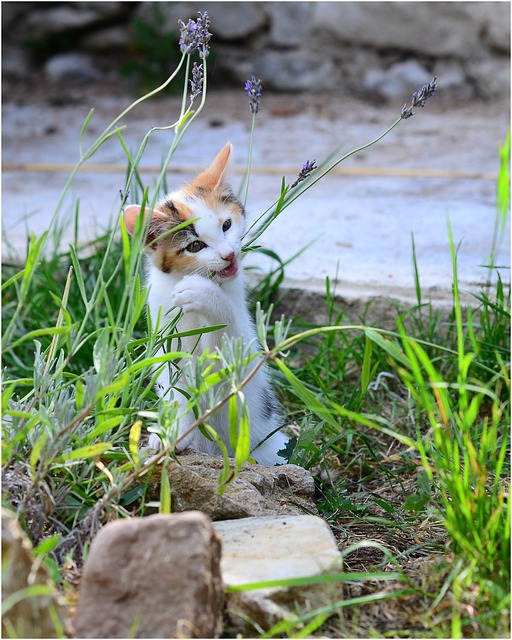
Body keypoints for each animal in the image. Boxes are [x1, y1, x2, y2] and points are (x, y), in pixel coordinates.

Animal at [124, 142, 290, 464]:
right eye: (195, 246)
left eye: (226, 225)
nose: (228, 254)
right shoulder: (166, 335)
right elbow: (176, 390)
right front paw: (174, 432)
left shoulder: (239, 354)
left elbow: (225, 343)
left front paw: (203, 294)